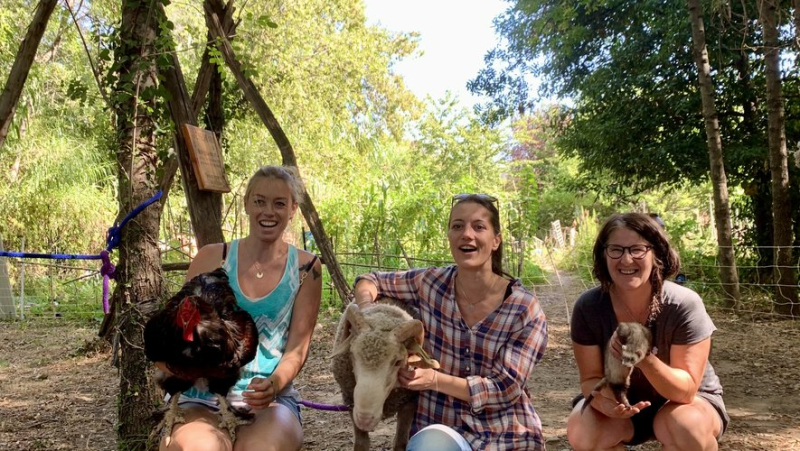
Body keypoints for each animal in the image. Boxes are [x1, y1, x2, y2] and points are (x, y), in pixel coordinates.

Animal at [332, 300, 444, 451]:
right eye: (352, 354)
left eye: (398, 362)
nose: (365, 419)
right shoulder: (350, 402)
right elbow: (361, 444)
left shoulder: (409, 403)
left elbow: (400, 443)